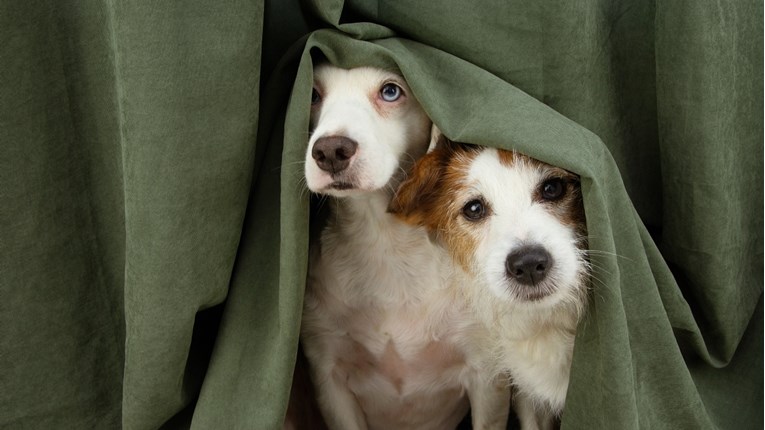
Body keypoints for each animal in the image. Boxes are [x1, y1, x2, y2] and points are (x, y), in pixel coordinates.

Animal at [298, 64, 508, 430]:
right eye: (312, 92)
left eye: (391, 91)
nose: (331, 151)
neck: (386, 243)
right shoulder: (329, 377)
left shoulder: (487, 376)